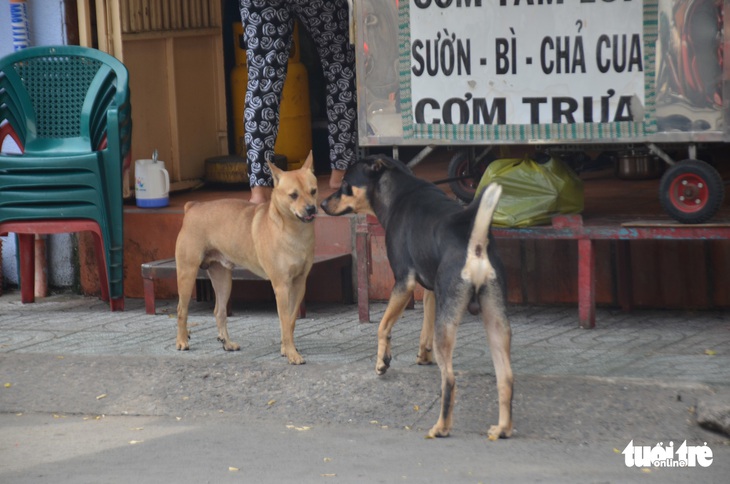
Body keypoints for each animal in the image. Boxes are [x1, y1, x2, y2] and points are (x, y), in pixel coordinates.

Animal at [175, 152, 318, 364]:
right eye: (293, 195)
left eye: (314, 191)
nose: (311, 208)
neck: (294, 230)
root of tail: (192, 207)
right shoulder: (282, 286)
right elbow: (284, 320)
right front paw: (292, 353)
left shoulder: (299, 284)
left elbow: (291, 321)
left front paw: (286, 348)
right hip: (187, 273)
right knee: (181, 310)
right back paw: (182, 341)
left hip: (223, 279)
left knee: (219, 311)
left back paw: (227, 343)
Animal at [318, 155, 512, 438]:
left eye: (345, 183)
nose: (320, 204)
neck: (400, 192)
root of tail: (475, 245)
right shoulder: (430, 290)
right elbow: (424, 330)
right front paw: (423, 356)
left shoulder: (403, 283)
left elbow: (382, 326)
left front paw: (382, 361)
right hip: (496, 322)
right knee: (506, 377)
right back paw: (503, 428)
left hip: (450, 324)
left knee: (449, 380)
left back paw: (441, 427)